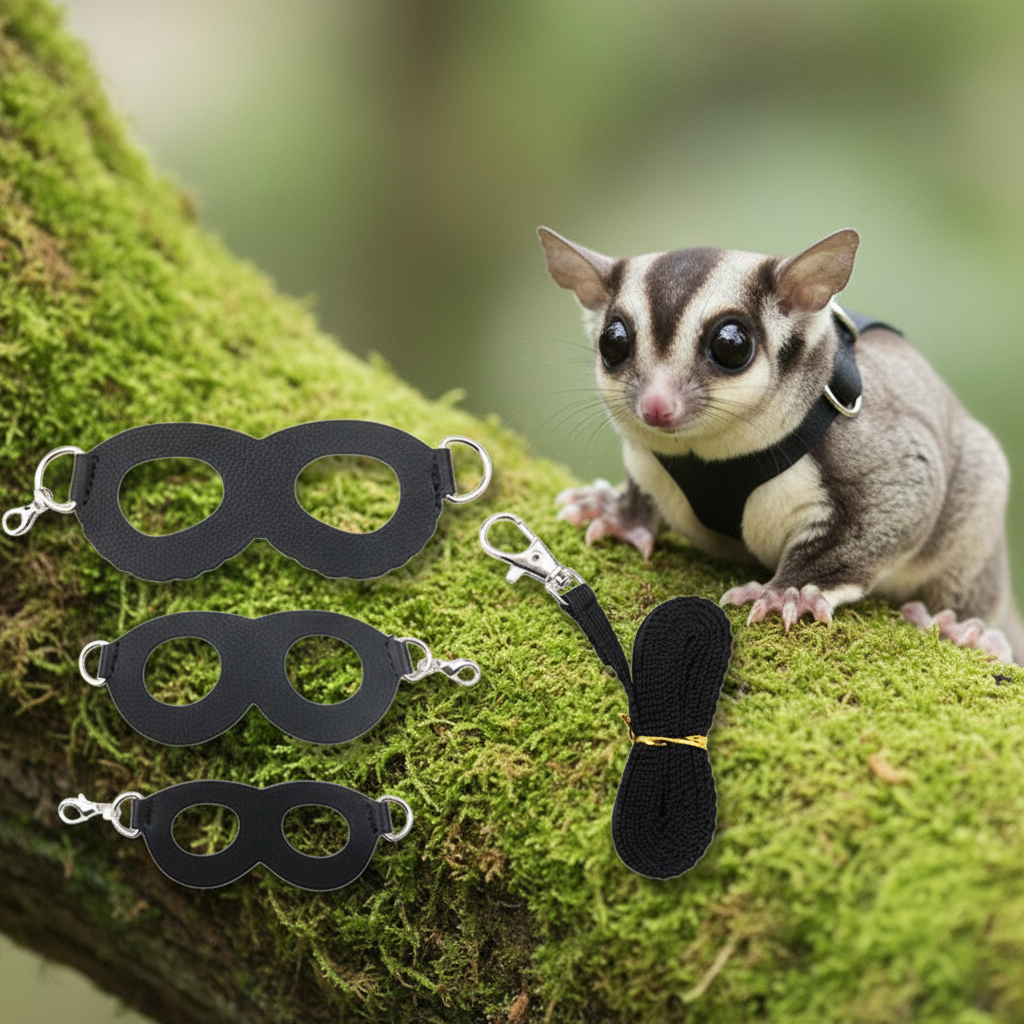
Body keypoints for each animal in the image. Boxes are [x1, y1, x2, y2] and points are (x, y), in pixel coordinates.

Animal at [539, 226, 1024, 663]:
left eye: (731, 344)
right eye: (613, 341)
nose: (656, 406)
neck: (706, 456)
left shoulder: (872, 449)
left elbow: (902, 494)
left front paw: (792, 591)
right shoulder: (646, 459)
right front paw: (617, 514)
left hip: (976, 525)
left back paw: (971, 633)